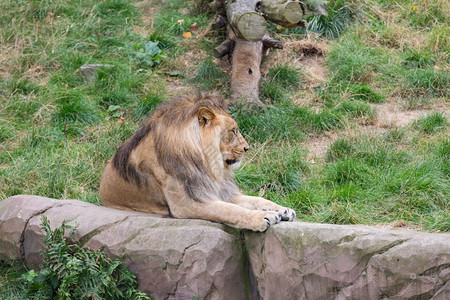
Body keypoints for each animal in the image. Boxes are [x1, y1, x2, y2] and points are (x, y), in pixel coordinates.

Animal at [99, 92, 296, 231]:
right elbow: (230, 210)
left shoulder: (218, 190)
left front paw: (283, 210)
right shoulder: (186, 204)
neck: (208, 165)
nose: (247, 148)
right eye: (233, 131)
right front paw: (262, 217)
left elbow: (256, 199)